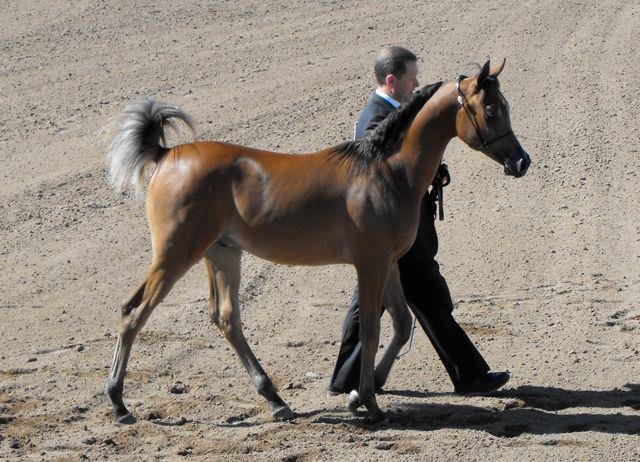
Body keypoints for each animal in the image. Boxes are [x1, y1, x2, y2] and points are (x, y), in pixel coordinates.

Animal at [105, 59, 530, 425]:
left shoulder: (390, 262)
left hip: (222, 253)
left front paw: (360, 394)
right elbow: (372, 330)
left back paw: (276, 401)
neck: (385, 171)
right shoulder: (371, 263)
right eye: (491, 110)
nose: (521, 162)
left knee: (226, 318)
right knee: (133, 312)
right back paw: (119, 404)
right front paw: (369, 403)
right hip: (175, 255)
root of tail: (165, 155)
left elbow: (401, 323)